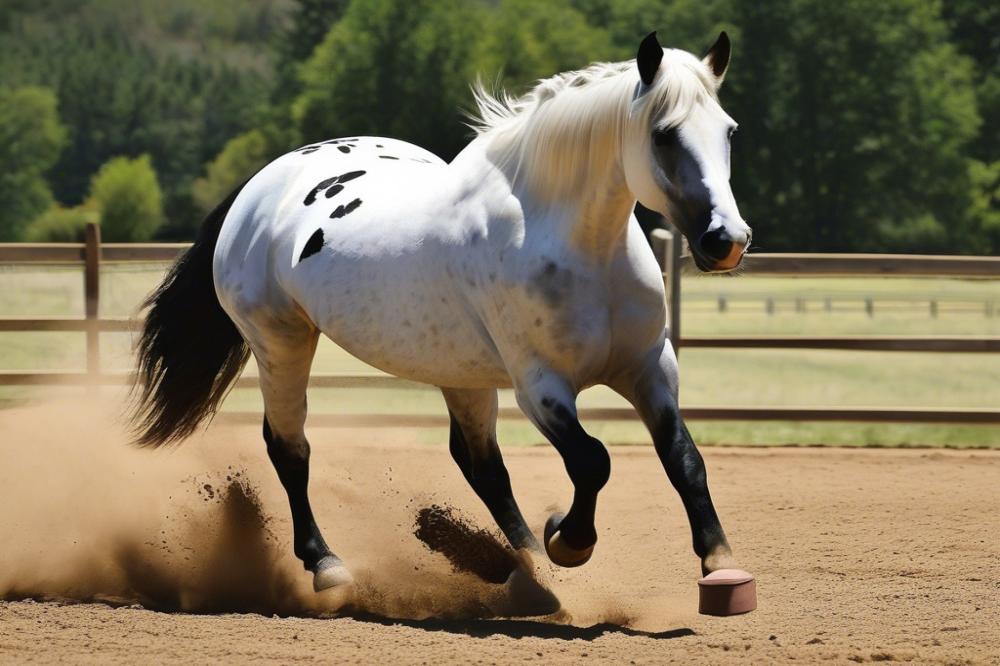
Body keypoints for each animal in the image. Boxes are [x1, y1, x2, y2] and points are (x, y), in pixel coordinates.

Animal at [133, 32, 752, 592]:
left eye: (729, 131)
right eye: (664, 134)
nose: (727, 240)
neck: (578, 246)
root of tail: (258, 188)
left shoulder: (650, 368)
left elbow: (683, 458)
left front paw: (719, 562)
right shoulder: (541, 387)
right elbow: (593, 460)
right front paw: (567, 540)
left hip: (459, 372)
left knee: (481, 464)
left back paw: (527, 567)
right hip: (281, 343)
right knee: (290, 448)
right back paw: (327, 564)